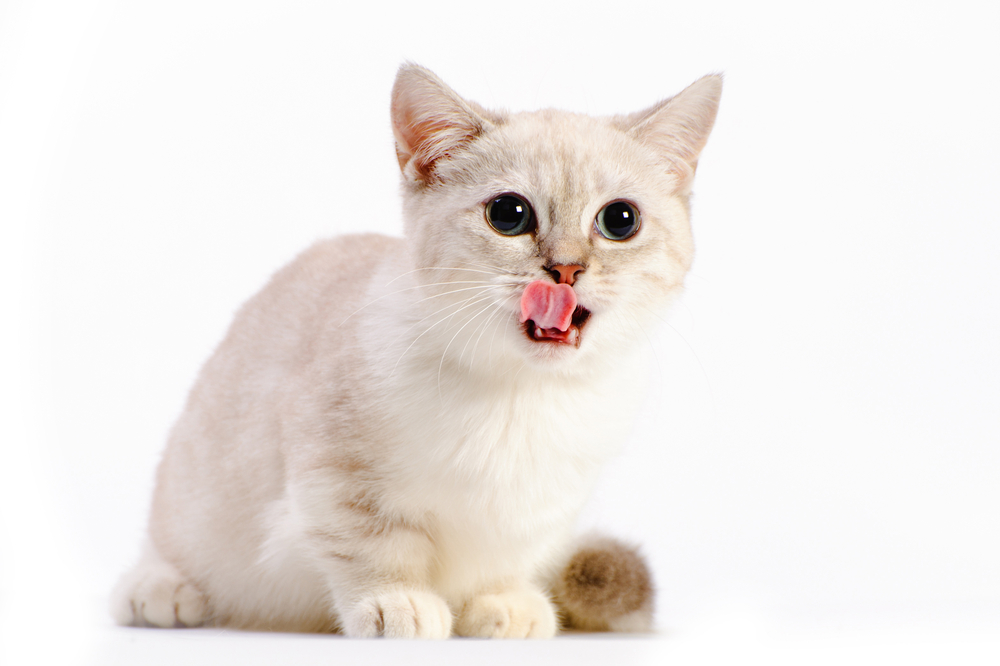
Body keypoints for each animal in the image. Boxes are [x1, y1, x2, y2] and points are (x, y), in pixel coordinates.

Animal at [109, 63, 720, 640]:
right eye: (509, 215)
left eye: (620, 220)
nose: (566, 270)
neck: (523, 395)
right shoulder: (336, 475)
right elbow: (375, 547)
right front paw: (395, 604)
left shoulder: (544, 508)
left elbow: (507, 560)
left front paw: (504, 604)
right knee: (162, 551)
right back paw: (160, 592)